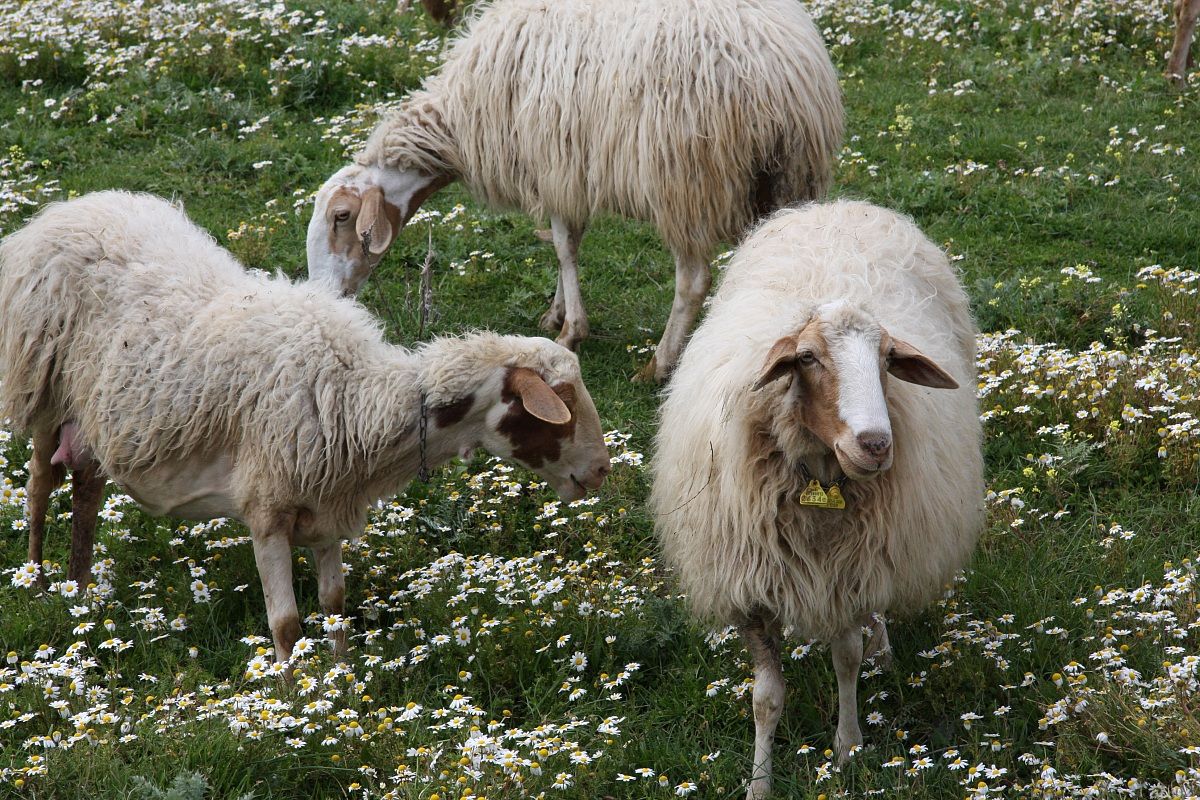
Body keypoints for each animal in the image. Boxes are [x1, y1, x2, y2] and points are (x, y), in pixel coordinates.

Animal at [0, 190, 612, 661]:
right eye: (557, 404)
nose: (602, 471)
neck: (359, 396)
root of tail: (67, 209)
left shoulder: (327, 506)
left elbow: (335, 605)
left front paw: (340, 686)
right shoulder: (267, 508)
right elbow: (287, 624)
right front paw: (294, 702)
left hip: (97, 412)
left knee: (86, 487)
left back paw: (80, 589)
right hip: (45, 388)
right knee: (39, 486)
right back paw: (39, 582)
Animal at [308, 0, 843, 382]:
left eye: (341, 217)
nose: (323, 299)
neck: (457, 123)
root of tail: (779, 77)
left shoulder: (555, 167)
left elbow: (565, 246)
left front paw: (570, 332)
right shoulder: (564, 173)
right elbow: (566, 246)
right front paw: (556, 312)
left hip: (684, 182)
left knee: (693, 281)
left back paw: (659, 365)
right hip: (789, 179)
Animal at [650, 200, 984, 798]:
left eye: (889, 358)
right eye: (806, 357)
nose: (875, 444)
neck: (820, 487)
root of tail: (839, 204)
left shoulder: (849, 572)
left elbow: (846, 659)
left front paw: (848, 748)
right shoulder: (750, 586)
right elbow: (765, 698)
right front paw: (759, 780)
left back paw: (882, 646)